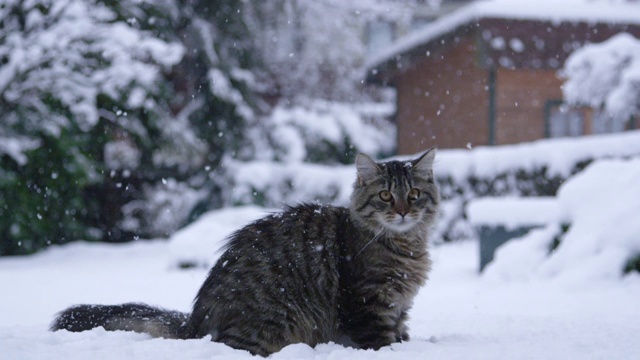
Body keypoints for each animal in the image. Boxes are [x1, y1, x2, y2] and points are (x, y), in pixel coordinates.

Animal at [51, 150, 440, 358]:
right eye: (386, 196)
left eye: (414, 194)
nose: (403, 211)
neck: (406, 247)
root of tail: (196, 320)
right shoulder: (366, 303)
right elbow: (381, 342)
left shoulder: (398, 308)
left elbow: (401, 334)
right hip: (272, 322)